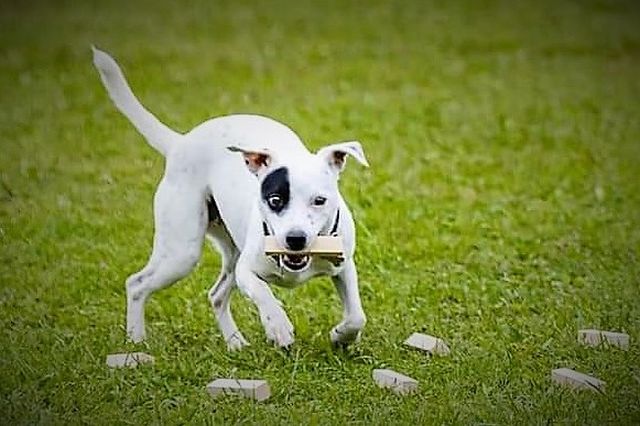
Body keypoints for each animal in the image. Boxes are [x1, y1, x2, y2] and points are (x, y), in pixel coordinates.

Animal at [92, 47, 368, 350]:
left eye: (319, 201)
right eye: (275, 200)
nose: (295, 239)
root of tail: (180, 143)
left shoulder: (344, 267)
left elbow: (357, 316)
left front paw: (340, 336)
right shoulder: (247, 270)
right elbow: (262, 291)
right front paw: (278, 326)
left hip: (228, 249)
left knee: (216, 295)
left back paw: (235, 343)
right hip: (182, 252)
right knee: (137, 284)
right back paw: (136, 340)